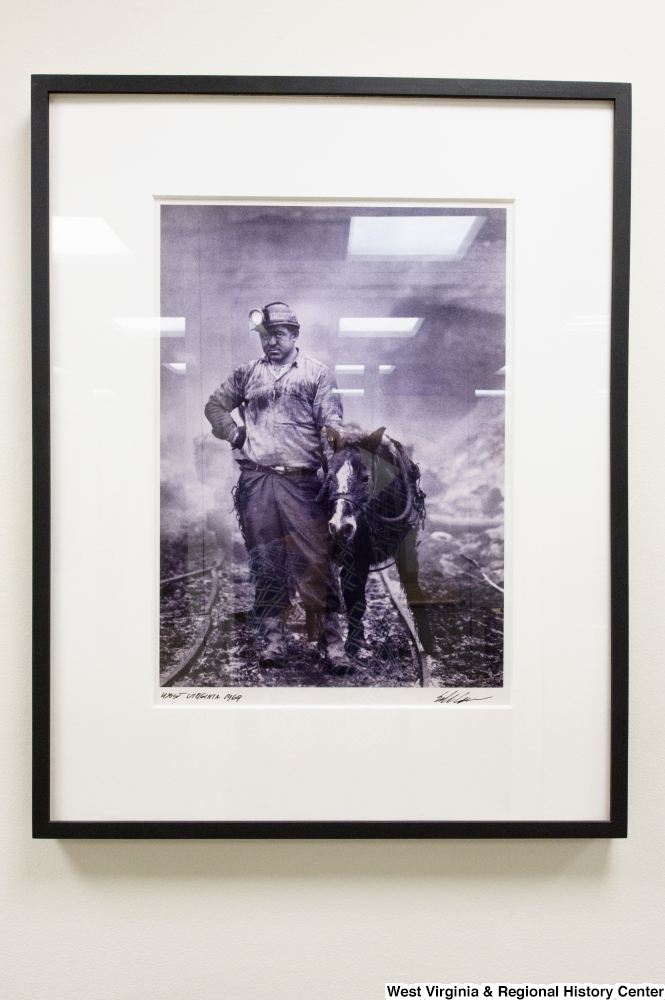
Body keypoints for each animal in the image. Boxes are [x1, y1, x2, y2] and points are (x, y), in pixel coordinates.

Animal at [316, 422, 430, 656]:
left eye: (365, 478)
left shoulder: (407, 546)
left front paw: (427, 642)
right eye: (330, 478)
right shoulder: (355, 557)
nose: (340, 527)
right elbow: (355, 598)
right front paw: (352, 646)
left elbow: (412, 585)